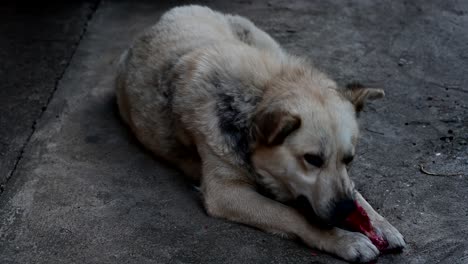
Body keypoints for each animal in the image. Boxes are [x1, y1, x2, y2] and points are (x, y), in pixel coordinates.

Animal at [114, 5, 406, 262]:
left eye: (349, 159)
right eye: (312, 159)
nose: (345, 211)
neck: (263, 90)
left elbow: (356, 191)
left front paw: (380, 223)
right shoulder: (225, 193)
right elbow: (293, 215)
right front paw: (343, 239)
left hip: (267, 43)